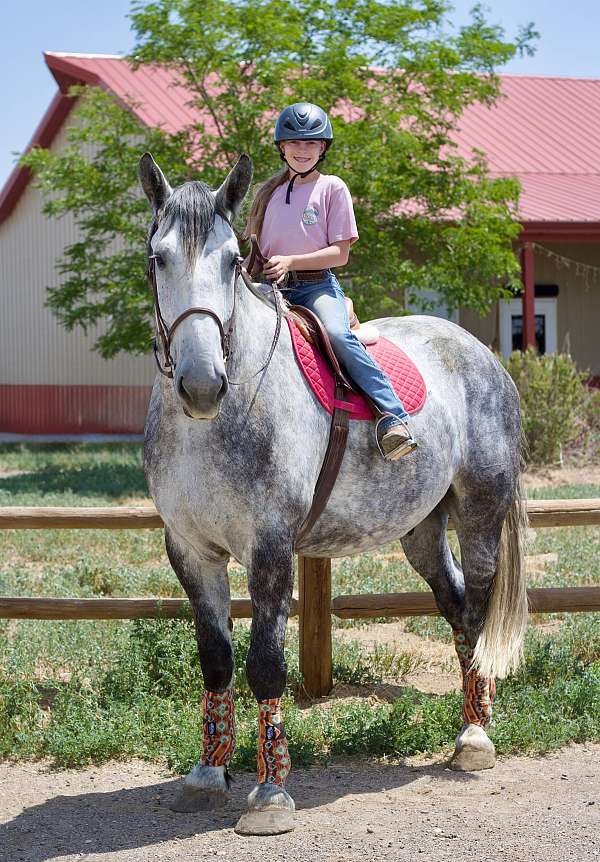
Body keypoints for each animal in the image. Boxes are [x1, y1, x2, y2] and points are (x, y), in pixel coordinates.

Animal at [138, 151, 528, 836]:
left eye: (230, 261)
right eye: (158, 258)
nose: (201, 383)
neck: (211, 424)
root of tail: (480, 352)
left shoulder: (269, 549)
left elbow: (266, 664)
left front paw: (270, 793)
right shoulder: (189, 549)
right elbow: (216, 658)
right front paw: (207, 775)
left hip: (481, 513)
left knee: (478, 610)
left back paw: (478, 737)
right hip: (421, 530)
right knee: (456, 607)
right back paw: (466, 730)